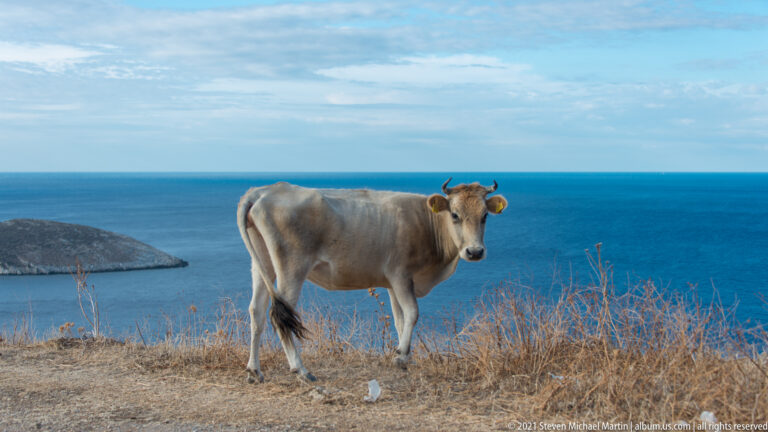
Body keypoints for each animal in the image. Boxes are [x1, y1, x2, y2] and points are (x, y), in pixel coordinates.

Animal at [236, 178, 507, 383]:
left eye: (484, 215)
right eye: (455, 214)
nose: (475, 251)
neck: (427, 223)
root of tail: (264, 190)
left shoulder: (392, 284)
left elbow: (399, 320)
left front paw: (404, 355)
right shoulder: (400, 275)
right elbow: (412, 313)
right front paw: (401, 356)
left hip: (262, 264)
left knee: (256, 311)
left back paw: (254, 370)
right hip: (291, 268)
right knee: (280, 316)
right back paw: (301, 369)